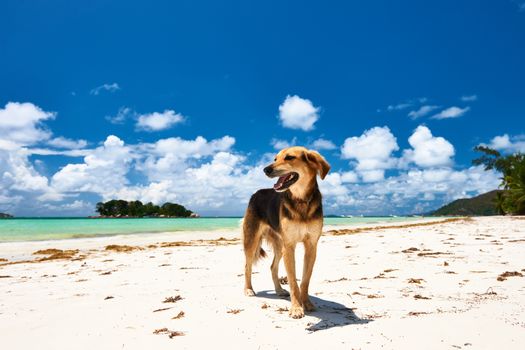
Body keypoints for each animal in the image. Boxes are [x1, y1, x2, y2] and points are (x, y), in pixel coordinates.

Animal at [241, 146, 328, 318]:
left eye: (289, 157)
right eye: (275, 159)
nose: (266, 169)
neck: (301, 200)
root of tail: (257, 192)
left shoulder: (311, 246)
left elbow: (305, 280)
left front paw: (306, 303)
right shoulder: (290, 246)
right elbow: (293, 280)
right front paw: (296, 308)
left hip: (279, 244)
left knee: (273, 267)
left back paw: (279, 290)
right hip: (252, 240)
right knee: (247, 266)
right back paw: (248, 289)